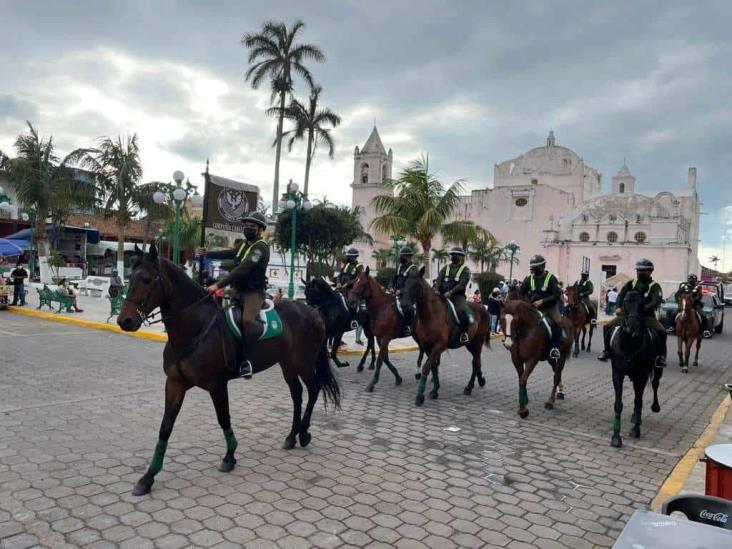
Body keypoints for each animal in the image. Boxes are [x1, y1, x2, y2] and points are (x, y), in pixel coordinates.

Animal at [116, 243, 340, 492]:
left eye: (146, 280)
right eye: (130, 278)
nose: (124, 321)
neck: (195, 330)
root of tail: (313, 312)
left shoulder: (217, 385)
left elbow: (224, 419)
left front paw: (230, 456)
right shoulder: (175, 384)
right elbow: (165, 427)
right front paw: (148, 477)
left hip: (303, 362)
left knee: (313, 389)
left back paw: (304, 433)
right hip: (287, 364)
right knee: (297, 394)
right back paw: (292, 436)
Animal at [398, 268, 488, 404]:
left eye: (416, 285)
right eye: (405, 284)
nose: (404, 306)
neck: (432, 315)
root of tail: (482, 307)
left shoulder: (439, 346)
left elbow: (426, 367)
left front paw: (420, 395)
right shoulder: (427, 347)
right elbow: (433, 367)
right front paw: (435, 390)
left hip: (477, 343)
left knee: (475, 362)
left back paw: (469, 387)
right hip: (470, 344)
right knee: (476, 362)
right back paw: (480, 380)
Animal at [608, 288, 664, 448]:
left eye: (642, 304)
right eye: (625, 302)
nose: (632, 326)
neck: (629, 346)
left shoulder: (642, 375)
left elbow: (639, 402)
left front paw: (635, 430)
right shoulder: (617, 373)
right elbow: (618, 404)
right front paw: (616, 437)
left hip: (657, 369)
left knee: (655, 385)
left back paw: (654, 407)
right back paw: (634, 417)